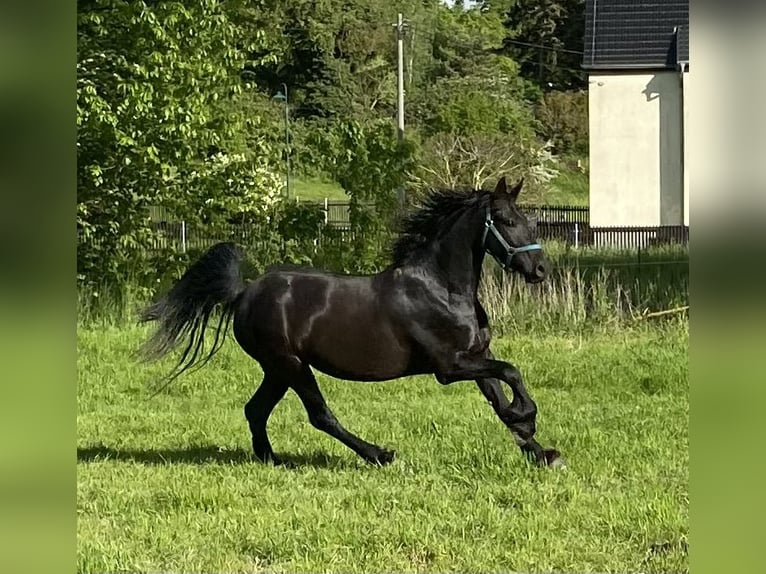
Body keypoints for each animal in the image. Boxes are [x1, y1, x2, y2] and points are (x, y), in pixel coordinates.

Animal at [139, 176, 565, 469]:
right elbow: (511, 371)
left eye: (528, 219)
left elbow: (500, 396)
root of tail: (243, 293)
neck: (441, 288)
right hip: (291, 365)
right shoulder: (449, 366)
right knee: (320, 416)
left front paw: (540, 449)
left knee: (255, 410)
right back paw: (379, 454)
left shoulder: (475, 355)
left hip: (277, 370)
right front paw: (528, 418)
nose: (541, 270)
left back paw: (270, 459)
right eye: (506, 220)